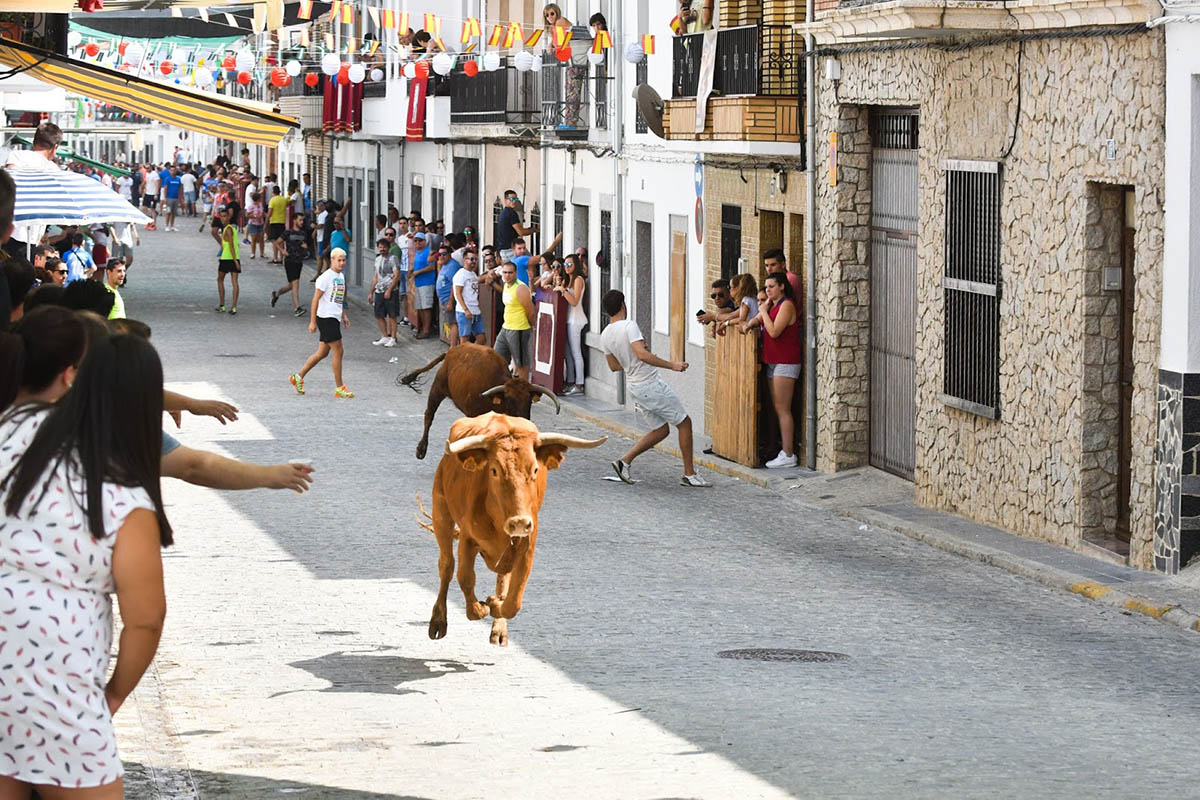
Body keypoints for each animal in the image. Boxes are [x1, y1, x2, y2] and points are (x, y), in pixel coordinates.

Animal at [396, 340, 559, 460]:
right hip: (438, 388)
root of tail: (452, 351)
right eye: (510, 400)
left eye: (529, 400)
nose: (524, 420)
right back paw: (421, 449)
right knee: (429, 414)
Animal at [424, 412, 609, 642]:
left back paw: (498, 628)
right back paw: (438, 620)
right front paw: (481, 608)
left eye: (535, 469)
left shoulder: (526, 546)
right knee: (446, 565)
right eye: (494, 470)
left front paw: (495, 605)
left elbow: (514, 598)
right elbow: (465, 578)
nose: (519, 522)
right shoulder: (467, 539)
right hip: (441, 511)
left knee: (502, 579)